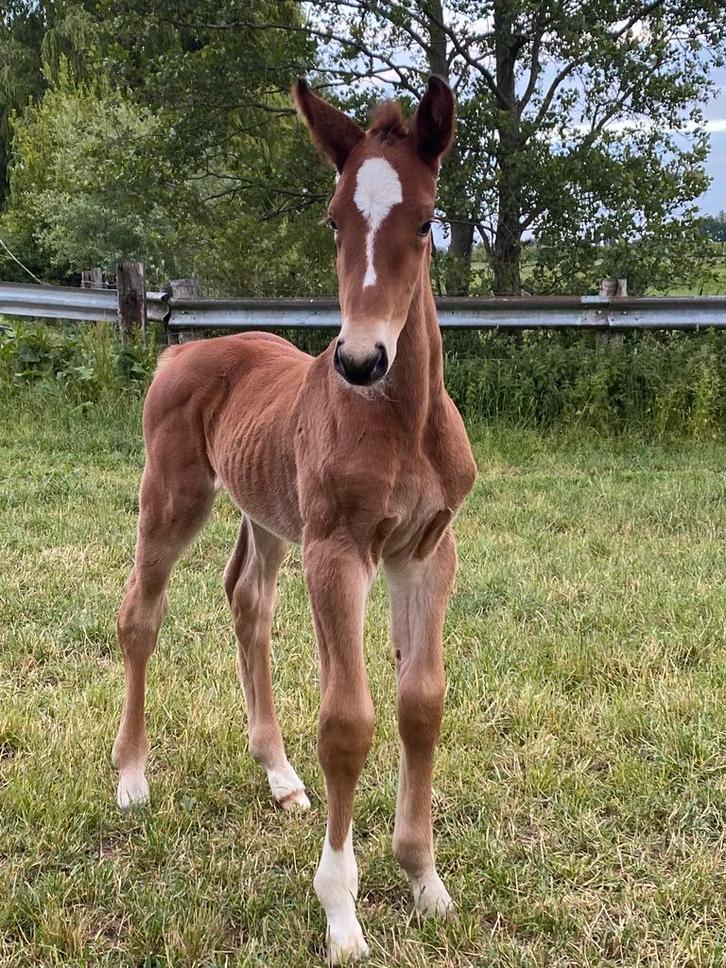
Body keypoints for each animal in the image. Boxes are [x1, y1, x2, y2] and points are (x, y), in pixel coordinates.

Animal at [112, 75, 476, 964]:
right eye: (335, 219)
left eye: (426, 219)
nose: (360, 359)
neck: (403, 424)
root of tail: (181, 349)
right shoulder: (337, 552)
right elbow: (348, 722)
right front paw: (341, 912)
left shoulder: (427, 551)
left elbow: (422, 705)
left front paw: (424, 880)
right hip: (175, 497)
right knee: (140, 614)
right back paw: (132, 777)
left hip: (270, 518)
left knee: (248, 602)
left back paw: (278, 777)